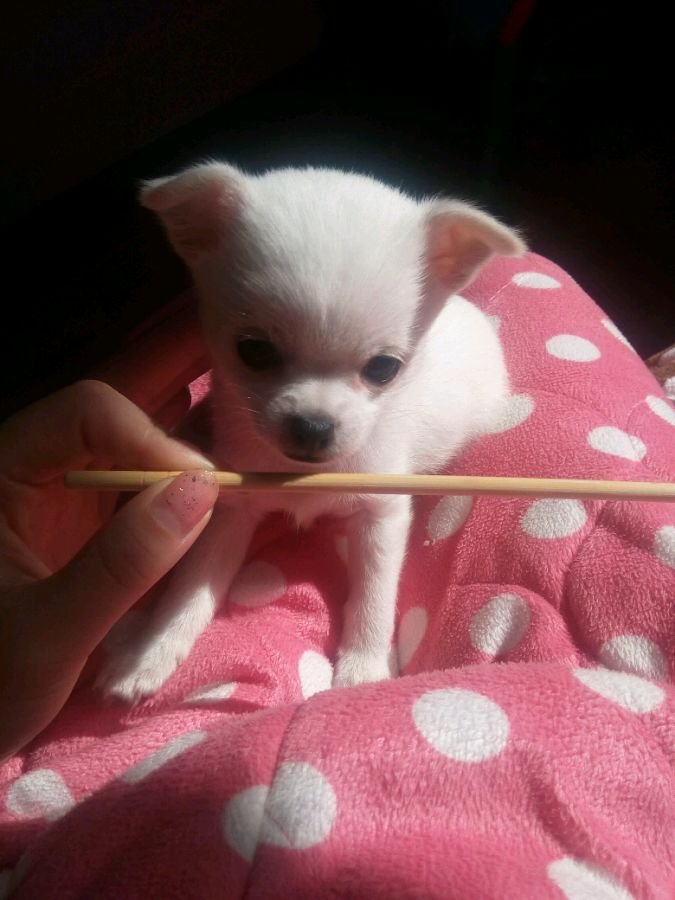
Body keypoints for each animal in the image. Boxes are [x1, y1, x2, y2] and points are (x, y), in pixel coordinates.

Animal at [98, 163, 524, 700]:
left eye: (384, 369)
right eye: (254, 351)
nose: (313, 426)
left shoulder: (380, 517)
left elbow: (374, 597)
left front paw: (363, 669)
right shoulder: (233, 508)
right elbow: (190, 586)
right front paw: (150, 652)